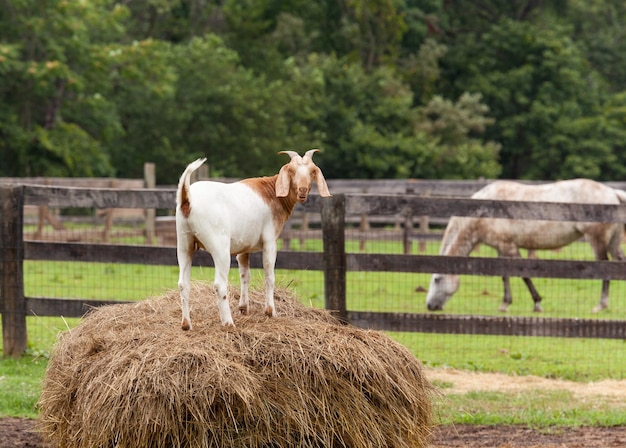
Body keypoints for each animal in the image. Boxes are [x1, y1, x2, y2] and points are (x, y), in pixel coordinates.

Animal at [176, 150, 332, 328]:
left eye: (312, 172)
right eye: (291, 171)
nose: (303, 190)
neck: (272, 193)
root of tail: (187, 198)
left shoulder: (244, 247)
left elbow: (245, 274)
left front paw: (244, 308)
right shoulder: (270, 241)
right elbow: (269, 276)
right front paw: (270, 312)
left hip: (184, 244)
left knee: (183, 284)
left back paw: (186, 325)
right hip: (220, 248)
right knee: (219, 284)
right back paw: (228, 323)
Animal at [424, 180, 624, 314]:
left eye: (437, 279)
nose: (430, 306)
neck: (483, 210)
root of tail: (612, 192)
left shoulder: (509, 247)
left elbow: (524, 275)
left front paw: (537, 303)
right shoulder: (501, 248)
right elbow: (505, 275)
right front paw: (505, 304)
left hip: (597, 240)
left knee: (605, 267)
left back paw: (600, 305)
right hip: (613, 242)